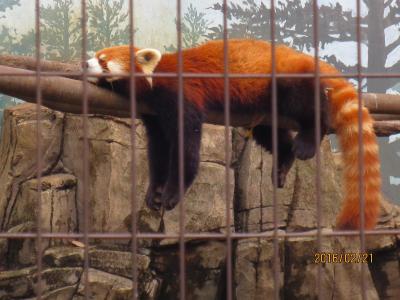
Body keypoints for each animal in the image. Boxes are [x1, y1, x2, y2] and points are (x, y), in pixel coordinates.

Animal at [86, 39, 382, 230]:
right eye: (96, 55)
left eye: (103, 60)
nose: (85, 62)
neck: (155, 81)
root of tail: (306, 57)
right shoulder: (153, 116)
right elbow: (157, 152)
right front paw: (155, 191)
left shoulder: (181, 95)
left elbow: (187, 149)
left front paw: (172, 193)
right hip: (262, 106)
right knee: (271, 133)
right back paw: (283, 161)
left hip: (285, 79)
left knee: (309, 107)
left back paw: (309, 139)